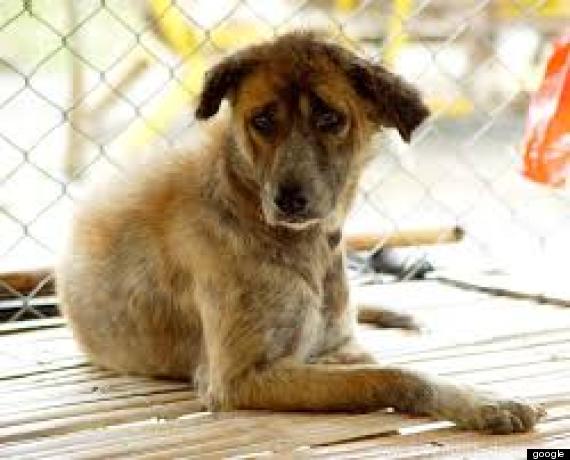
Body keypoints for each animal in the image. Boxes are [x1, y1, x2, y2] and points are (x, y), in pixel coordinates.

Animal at [58, 32, 545, 434]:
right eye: (261, 121)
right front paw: (483, 402)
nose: (289, 200)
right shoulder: (240, 378)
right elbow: (390, 376)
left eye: (330, 118)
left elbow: (383, 366)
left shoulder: (341, 348)